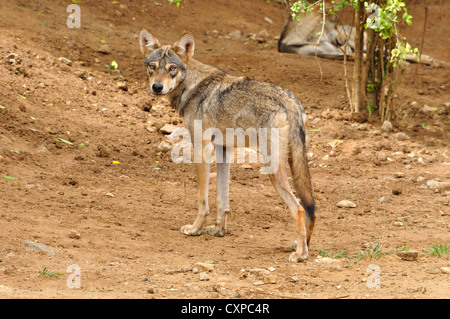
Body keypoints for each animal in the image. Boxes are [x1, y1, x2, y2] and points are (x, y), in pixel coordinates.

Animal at [139, 30, 314, 262]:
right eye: (152, 66)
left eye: (171, 68)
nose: (157, 87)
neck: (192, 86)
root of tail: (291, 101)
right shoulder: (224, 150)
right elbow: (222, 199)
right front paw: (218, 230)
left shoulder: (201, 149)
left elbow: (203, 200)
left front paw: (195, 229)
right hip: (294, 163)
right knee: (310, 206)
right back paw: (303, 245)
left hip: (273, 168)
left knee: (299, 209)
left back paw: (300, 254)